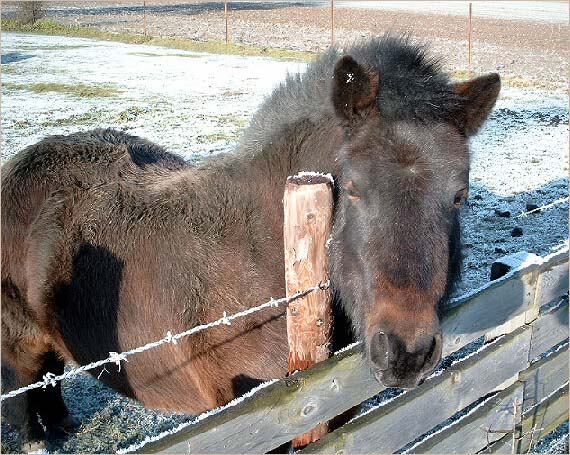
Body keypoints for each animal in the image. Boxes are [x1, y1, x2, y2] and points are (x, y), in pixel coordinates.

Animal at [1, 36, 496, 448]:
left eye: (459, 194)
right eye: (354, 187)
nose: (407, 352)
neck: (267, 254)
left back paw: (62, 424)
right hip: (18, 342)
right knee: (23, 385)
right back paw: (37, 437)